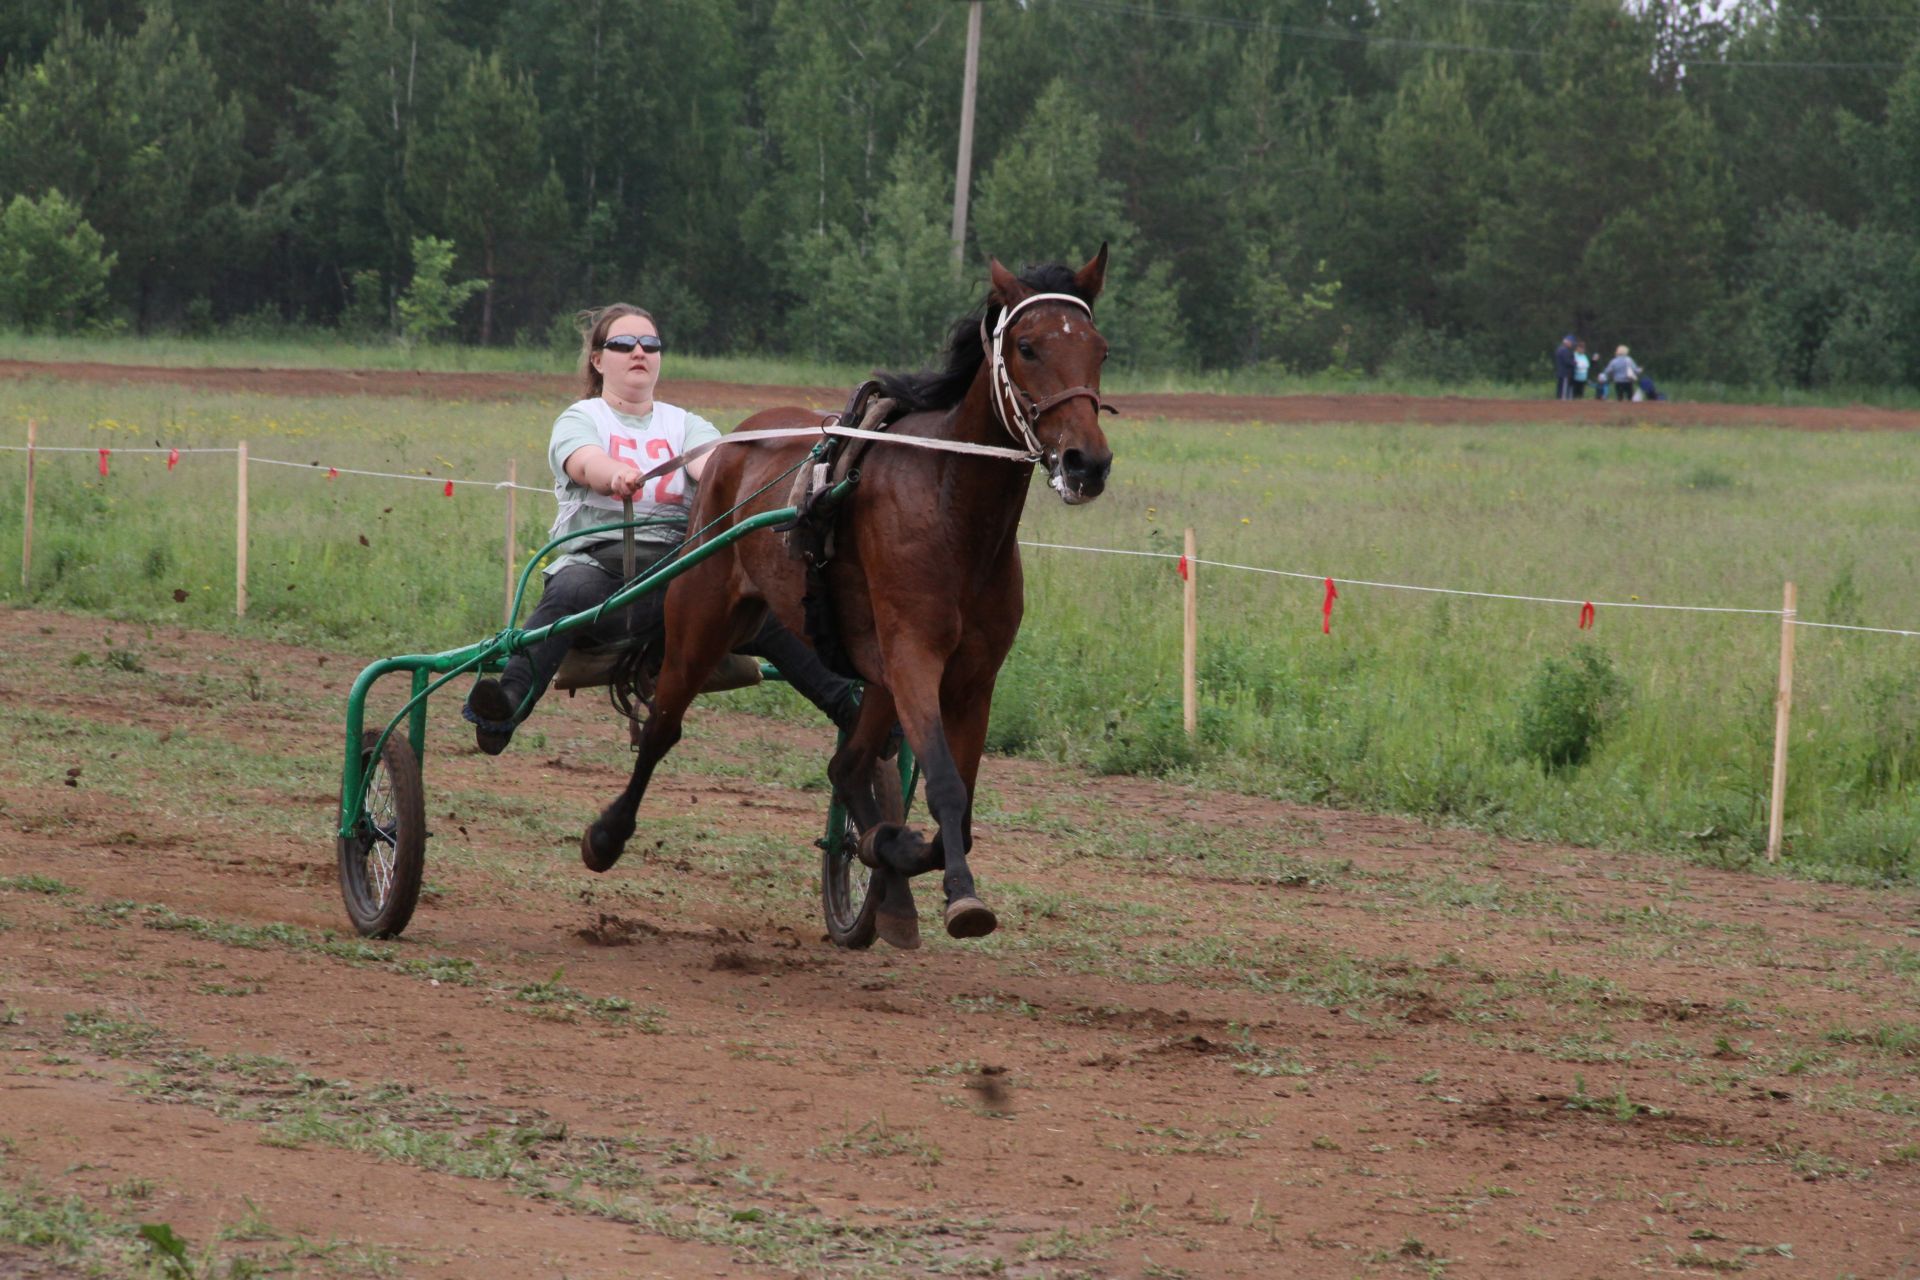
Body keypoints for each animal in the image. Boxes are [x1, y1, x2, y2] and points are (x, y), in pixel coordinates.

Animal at [576, 253, 1113, 951]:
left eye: (1100, 349)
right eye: (1027, 347)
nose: (1086, 462)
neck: (952, 506)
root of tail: (733, 442)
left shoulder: (972, 677)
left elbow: (957, 812)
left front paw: (891, 849)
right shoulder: (914, 657)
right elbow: (945, 786)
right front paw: (957, 894)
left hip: (870, 674)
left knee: (846, 766)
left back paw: (882, 871)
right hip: (701, 616)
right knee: (664, 727)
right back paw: (607, 834)